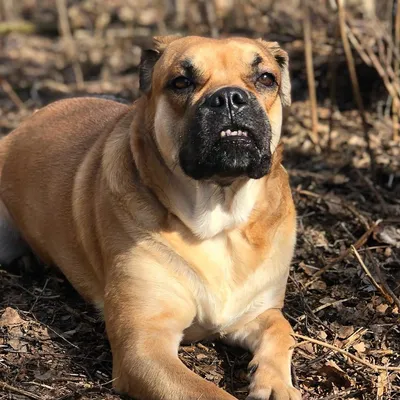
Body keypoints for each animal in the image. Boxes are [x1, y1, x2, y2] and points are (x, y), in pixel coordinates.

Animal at [0, 36, 300, 398]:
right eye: (181, 82)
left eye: (266, 78)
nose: (229, 96)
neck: (220, 218)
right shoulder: (143, 345)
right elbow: (209, 392)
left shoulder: (257, 312)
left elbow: (282, 329)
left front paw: (275, 384)